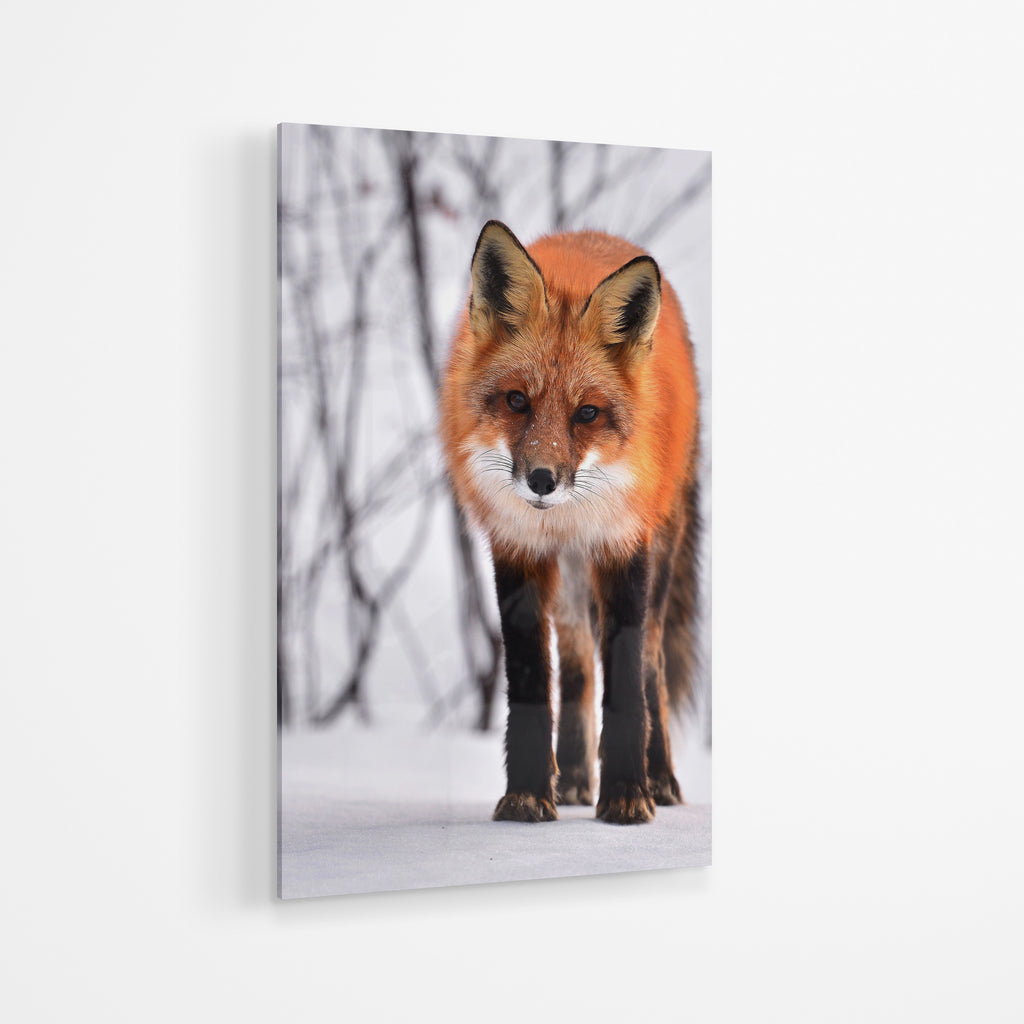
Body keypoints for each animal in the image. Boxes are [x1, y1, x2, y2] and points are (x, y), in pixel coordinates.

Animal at [439, 220, 701, 825]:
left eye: (587, 413)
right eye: (517, 401)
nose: (541, 480)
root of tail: (596, 233)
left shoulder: (623, 546)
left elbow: (627, 687)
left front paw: (627, 795)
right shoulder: (518, 549)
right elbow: (534, 681)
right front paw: (527, 795)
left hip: (659, 554)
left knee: (652, 666)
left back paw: (660, 777)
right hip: (571, 586)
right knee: (579, 667)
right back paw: (578, 776)